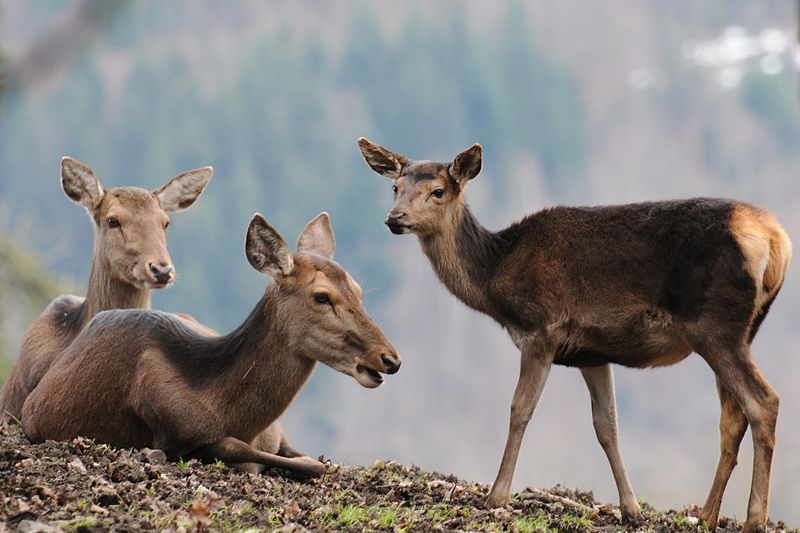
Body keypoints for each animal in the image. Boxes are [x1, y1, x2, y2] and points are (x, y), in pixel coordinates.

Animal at [22, 210, 404, 476]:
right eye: (322, 297)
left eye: (358, 290)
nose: (390, 359)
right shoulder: (172, 432)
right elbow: (243, 451)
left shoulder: (279, 434)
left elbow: (314, 462)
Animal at [360, 138, 792, 532]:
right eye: (395, 186)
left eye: (438, 191)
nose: (394, 217)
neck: (495, 276)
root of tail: (777, 242)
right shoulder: (592, 353)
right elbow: (607, 426)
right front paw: (631, 509)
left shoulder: (541, 330)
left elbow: (520, 409)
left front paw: (496, 496)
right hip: (741, 330)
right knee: (731, 418)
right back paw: (706, 516)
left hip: (715, 325)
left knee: (763, 401)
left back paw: (754, 519)